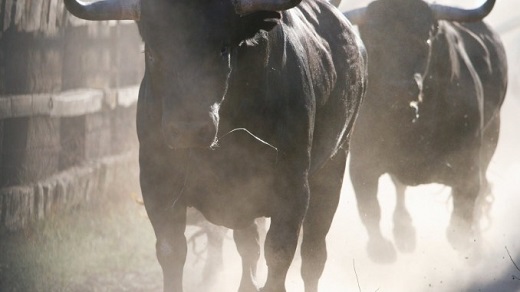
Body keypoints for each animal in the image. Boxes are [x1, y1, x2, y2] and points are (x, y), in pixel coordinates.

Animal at [64, 0, 366, 292]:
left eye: (222, 48)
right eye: (153, 52)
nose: (189, 129)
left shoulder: (292, 190)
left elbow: (279, 254)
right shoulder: (158, 187)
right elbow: (172, 251)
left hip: (333, 167)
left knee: (313, 253)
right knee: (249, 247)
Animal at [346, 0, 508, 264]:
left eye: (425, 38)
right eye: (373, 39)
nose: (399, 87)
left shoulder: (468, 165)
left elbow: (463, 216)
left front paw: (470, 243)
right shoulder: (362, 163)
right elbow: (369, 209)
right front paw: (382, 249)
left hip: (492, 136)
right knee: (399, 188)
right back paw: (404, 231)